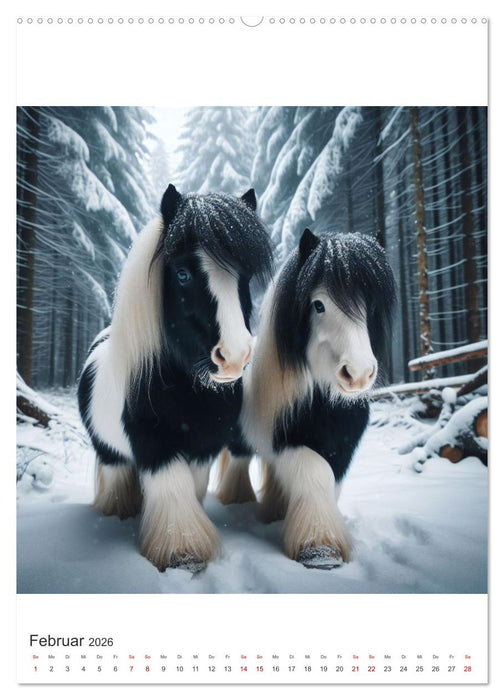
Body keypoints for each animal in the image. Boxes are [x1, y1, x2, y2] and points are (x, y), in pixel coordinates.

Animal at [78, 184, 274, 572]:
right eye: (182, 274)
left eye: (243, 277)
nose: (234, 356)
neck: (188, 393)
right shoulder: (156, 448)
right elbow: (172, 493)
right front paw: (181, 553)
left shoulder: (203, 448)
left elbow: (191, 491)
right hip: (109, 452)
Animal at [217, 228, 395, 569]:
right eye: (319, 305)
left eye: (371, 305)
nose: (358, 374)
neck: (324, 404)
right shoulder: (288, 442)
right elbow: (316, 475)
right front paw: (320, 548)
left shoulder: (341, 449)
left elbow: (329, 485)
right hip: (240, 442)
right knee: (238, 464)